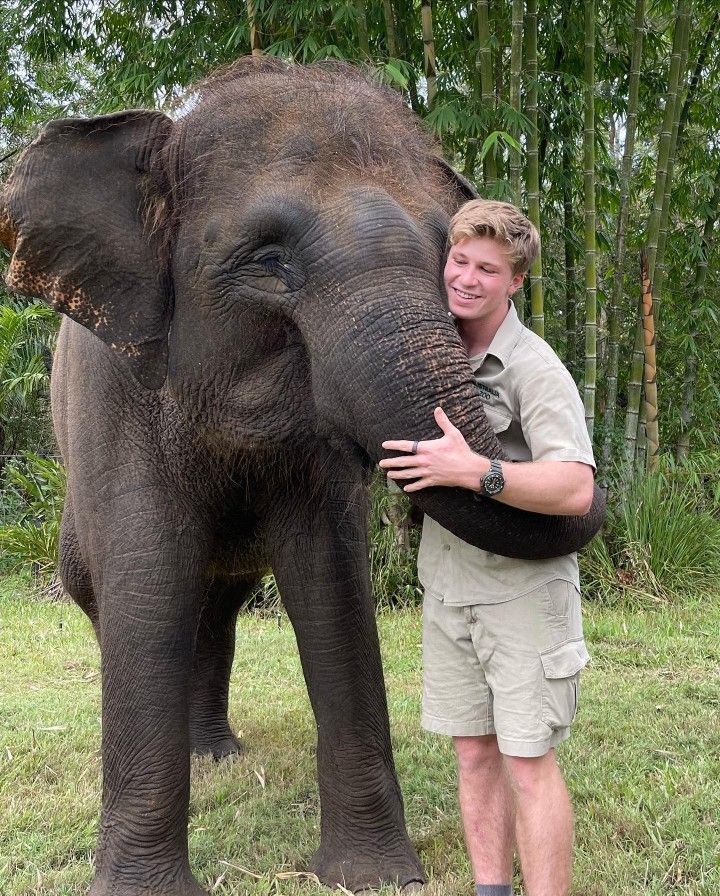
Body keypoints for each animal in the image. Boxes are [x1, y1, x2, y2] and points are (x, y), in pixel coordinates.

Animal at [0, 57, 604, 896]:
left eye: (448, 258)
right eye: (269, 261)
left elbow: (330, 576)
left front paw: (375, 878)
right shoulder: (115, 393)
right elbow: (148, 579)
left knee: (218, 609)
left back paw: (216, 754)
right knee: (123, 596)